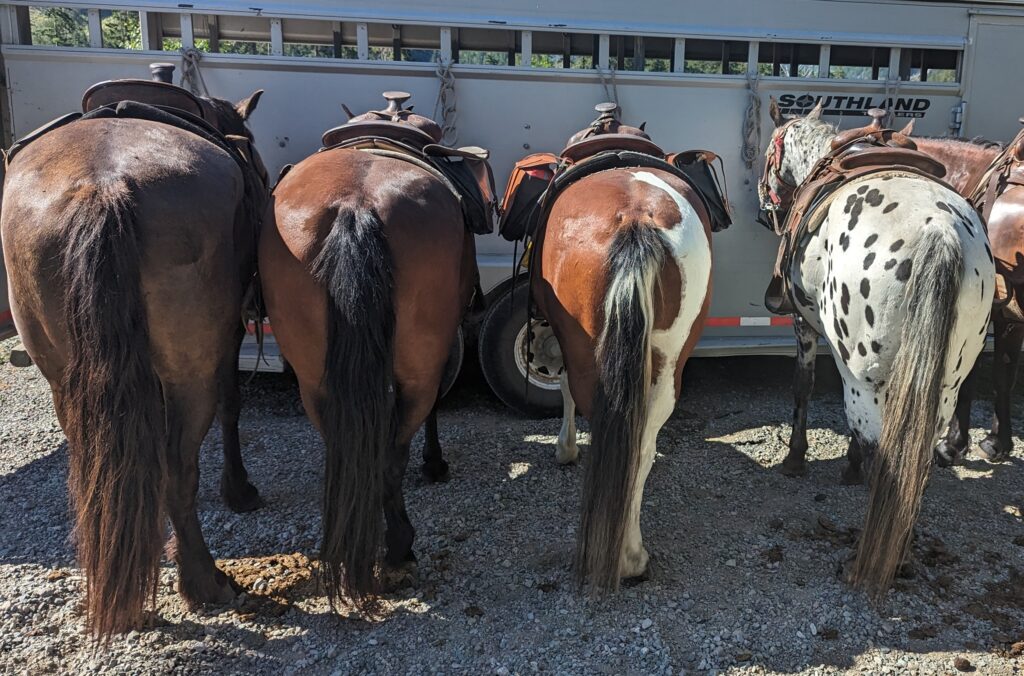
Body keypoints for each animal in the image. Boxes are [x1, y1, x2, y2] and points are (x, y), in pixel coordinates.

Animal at [0, 81, 268, 635]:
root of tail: (103, 189)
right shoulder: (227, 337)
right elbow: (232, 403)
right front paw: (239, 491)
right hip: (182, 372)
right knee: (173, 470)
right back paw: (203, 583)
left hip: (70, 380)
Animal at [256, 93, 479, 606]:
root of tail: (356, 205)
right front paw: (435, 463)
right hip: (412, 369)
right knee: (391, 453)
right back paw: (397, 549)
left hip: (315, 380)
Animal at [532, 107, 716, 589]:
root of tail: (637, 219)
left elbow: (562, 387)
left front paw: (565, 448)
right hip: (670, 362)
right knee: (640, 443)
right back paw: (632, 556)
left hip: (588, 357)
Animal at [765, 97, 995, 594]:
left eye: (769, 156)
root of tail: (940, 232)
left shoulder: (804, 327)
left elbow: (803, 387)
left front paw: (797, 458)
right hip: (944, 385)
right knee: (914, 460)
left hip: (867, 379)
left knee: (881, 450)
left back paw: (865, 559)